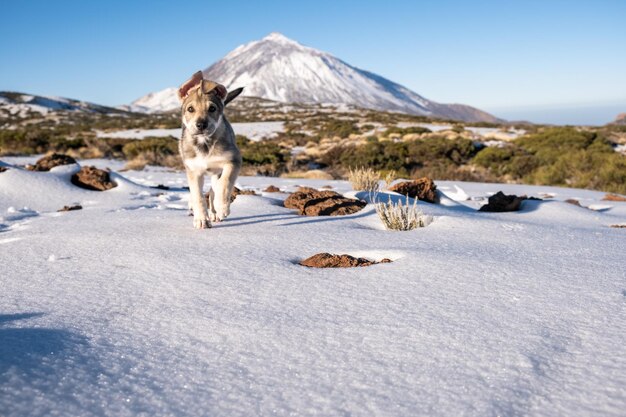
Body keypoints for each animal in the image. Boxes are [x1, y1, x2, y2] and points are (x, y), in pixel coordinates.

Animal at [178, 70, 244, 229]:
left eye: (212, 108)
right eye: (190, 109)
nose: (201, 124)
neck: (204, 144)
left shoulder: (233, 161)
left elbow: (225, 183)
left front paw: (222, 207)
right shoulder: (193, 170)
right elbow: (198, 196)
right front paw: (201, 219)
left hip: (216, 172)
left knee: (214, 189)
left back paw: (215, 212)